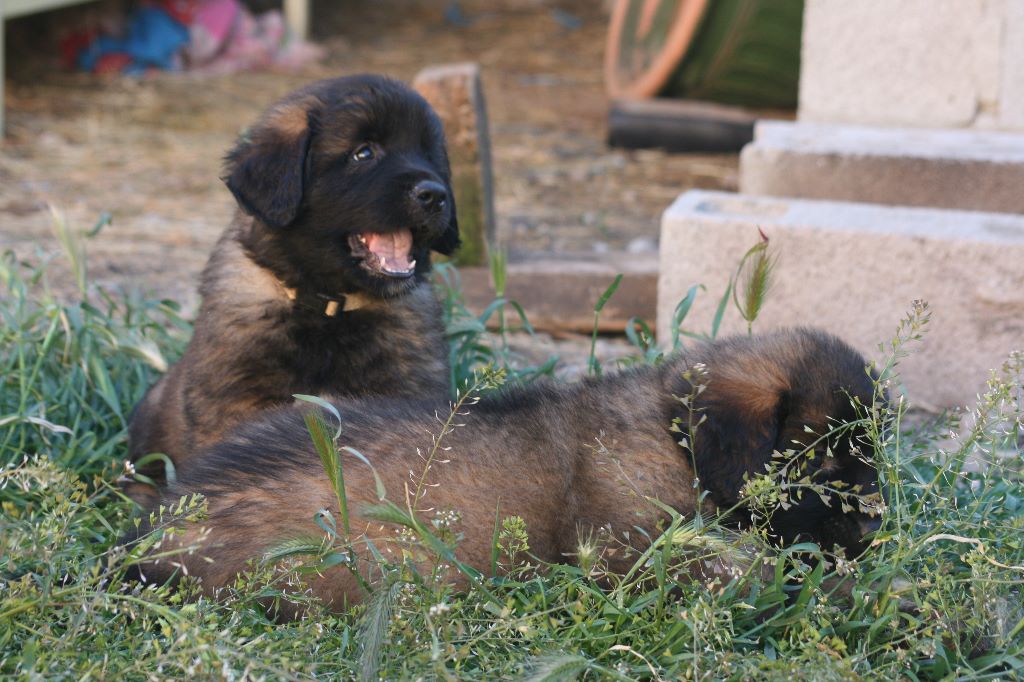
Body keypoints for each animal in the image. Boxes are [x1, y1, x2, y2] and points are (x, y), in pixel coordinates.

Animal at [130, 328, 884, 614]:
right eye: (827, 461)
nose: (874, 530)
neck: (672, 432)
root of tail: (143, 543)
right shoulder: (640, 553)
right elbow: (767, 574)